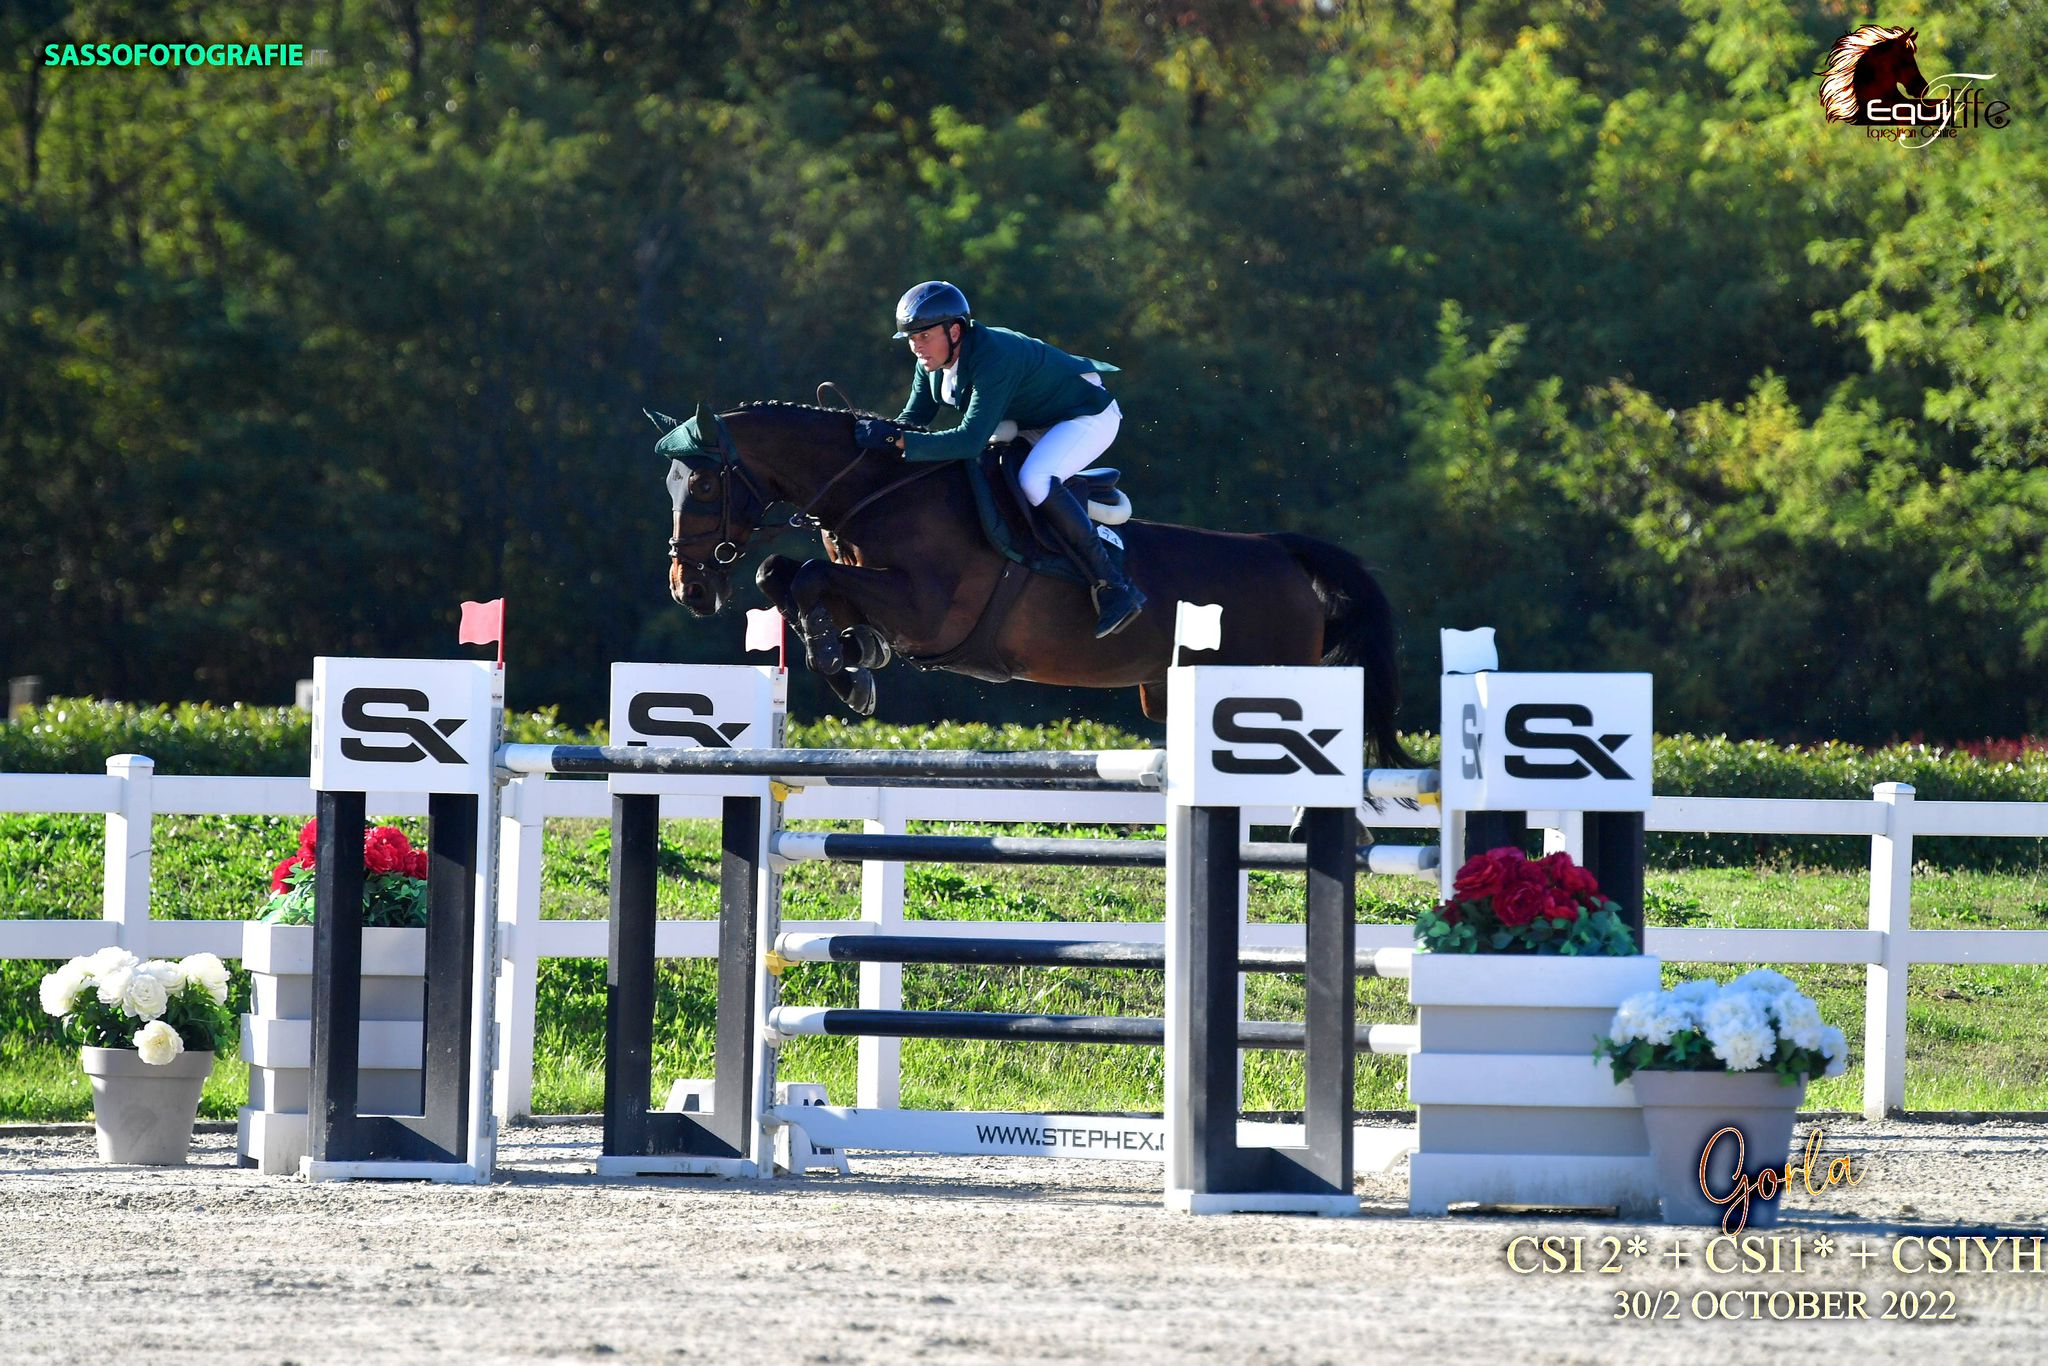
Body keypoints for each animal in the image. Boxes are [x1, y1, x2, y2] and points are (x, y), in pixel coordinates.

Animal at [663, 401, 1417, 774]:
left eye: (700, 485)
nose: (688, 590)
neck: (881, 488)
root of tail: (1281, 552)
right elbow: (783, 575)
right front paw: (854, 658)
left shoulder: (930, 612)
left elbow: (811, 576)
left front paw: (846, 667)